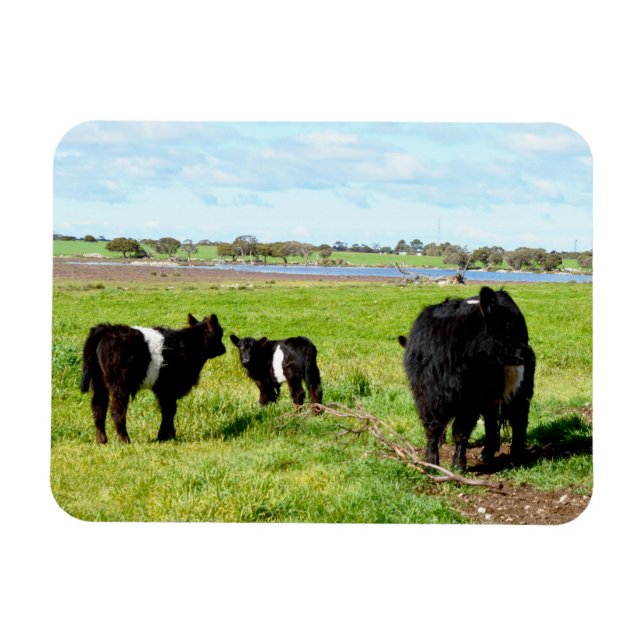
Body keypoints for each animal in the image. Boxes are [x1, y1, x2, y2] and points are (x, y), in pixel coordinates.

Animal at [80, 313, 226, 444]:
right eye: (220, 333)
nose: (224, 349)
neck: (189, 345)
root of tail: (106, 329)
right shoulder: (169, 388)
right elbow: (170, 411)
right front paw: (165, 436)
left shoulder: (163, 390)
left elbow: (167, 411)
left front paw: (168, 436)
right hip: (119, 385)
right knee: (117, 410)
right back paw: (125, 440)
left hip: (98, 382)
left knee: (98, 407)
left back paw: (102, 441)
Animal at [400, 286, 535, 470]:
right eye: (507, 327)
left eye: (516, 326)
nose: (530, 353)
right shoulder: (425, 397)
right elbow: (432, 430)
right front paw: (431, 462)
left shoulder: (471, 401)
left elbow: (460, 431)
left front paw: (458, 463)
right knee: (492, 420)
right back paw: (486, 454)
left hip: (519, 389)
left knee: (518, 419)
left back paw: (516, 455)